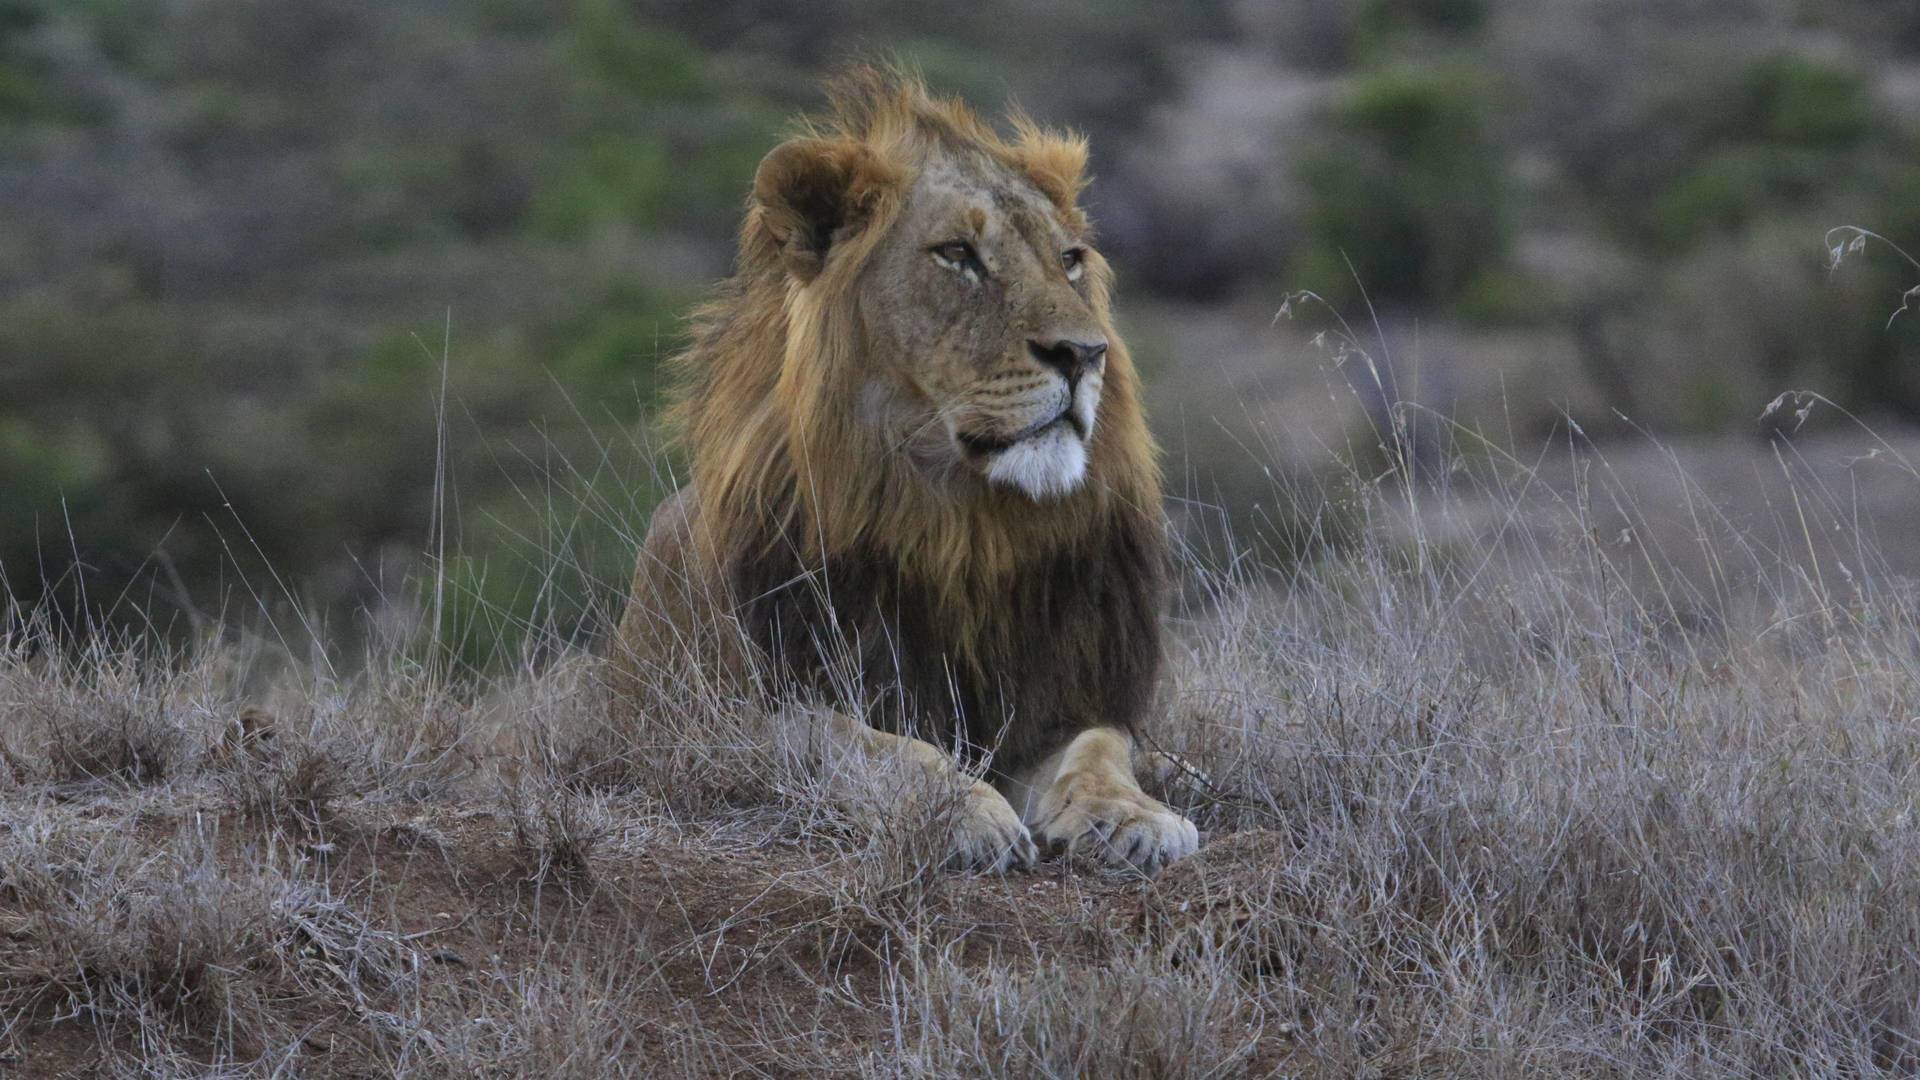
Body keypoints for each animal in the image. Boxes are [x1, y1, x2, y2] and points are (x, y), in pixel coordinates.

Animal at [606, 67, 1190, 868]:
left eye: (1069, 260)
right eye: (957, 254)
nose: (1084, 353)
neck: (962, 529)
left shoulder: (1067, 693)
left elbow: (1100, 749)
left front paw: (1132, 816)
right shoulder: (735, 720)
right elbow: (866, 745)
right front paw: (961, 813)